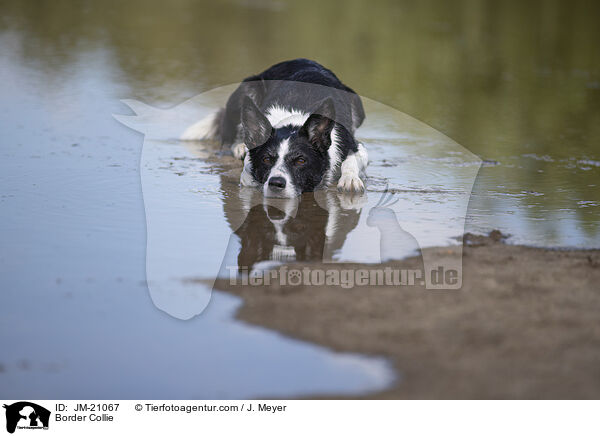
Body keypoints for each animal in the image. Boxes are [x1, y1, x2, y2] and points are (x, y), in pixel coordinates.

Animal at [183, 58, 368, 198]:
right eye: (266, 159)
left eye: (300, 161)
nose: (276, 183)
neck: (295, 119)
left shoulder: (355, 146)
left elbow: (350, 161)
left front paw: (350, 180)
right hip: (248, 89)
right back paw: (240, 146)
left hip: (357, 103)